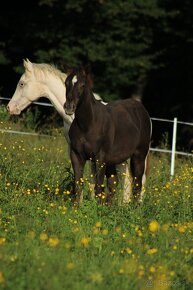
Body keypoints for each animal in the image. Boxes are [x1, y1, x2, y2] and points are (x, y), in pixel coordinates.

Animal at [64, 67, 152, 205]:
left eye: (82, 85)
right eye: (66, 83)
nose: (69, 107)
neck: (88, 124)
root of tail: (142, 110)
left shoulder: (99, 159)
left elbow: (98, 186)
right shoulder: (76, 155)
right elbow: (78, 185)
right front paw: (75, 207)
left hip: (139, 156)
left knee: (137, 184)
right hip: (114, 160)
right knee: (114, 183)